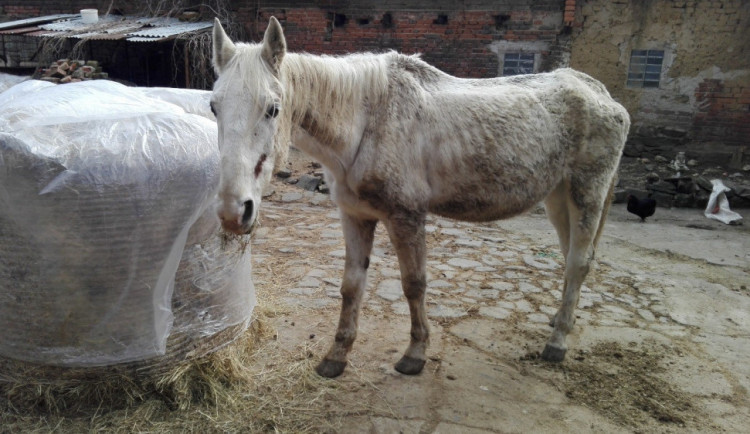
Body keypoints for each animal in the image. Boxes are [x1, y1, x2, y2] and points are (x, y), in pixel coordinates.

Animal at [210, 17, 628, 376]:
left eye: (272, 108)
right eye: (214, 106)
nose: (234, 211)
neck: (368, 120)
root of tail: (601, 94)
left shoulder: (406, 216)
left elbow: (414, 284)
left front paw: (415, 354)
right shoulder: (354, 215)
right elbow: (351, 287)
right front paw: (336, 356)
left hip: (587, 194)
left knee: (577, 263)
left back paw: (557, 343)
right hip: (558, 199)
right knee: (570, 257)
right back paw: (560, 322)